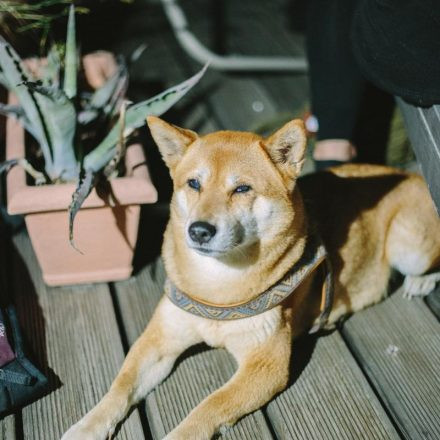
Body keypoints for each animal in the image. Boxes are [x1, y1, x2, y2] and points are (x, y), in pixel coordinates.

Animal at [62, 117, 440, 440]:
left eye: (242, 189)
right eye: (194, 184)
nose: (199, 230)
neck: (218, 289)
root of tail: (411, 175)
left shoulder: (266, 364)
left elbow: (209, 405)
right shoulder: (159, 339)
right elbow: (121, 385)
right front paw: (87, 425)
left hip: (408, 247)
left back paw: (420, 281)